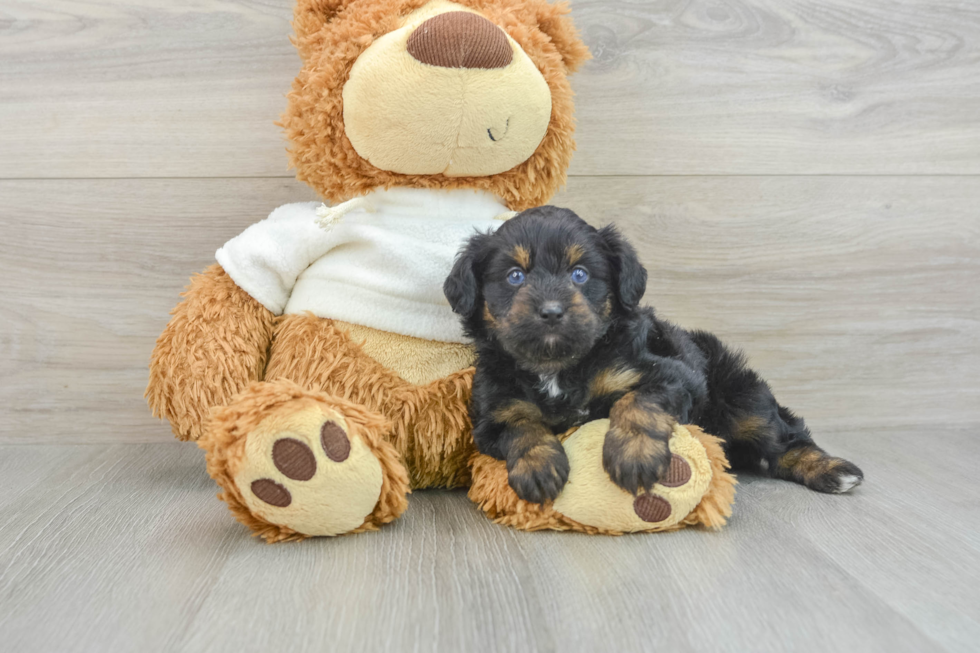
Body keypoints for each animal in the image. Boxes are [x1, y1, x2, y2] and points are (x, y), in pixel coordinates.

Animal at [444, 206, 864, 502]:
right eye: (514, 276)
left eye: (580, 274)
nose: (550, 311)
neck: (558, 367)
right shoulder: (494, 411)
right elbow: (521, 426)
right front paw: (539, 468)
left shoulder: (671, 375)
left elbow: (638, 402)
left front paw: (634, 456)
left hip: (740, 397)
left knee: (782, 436)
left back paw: (833, 470)